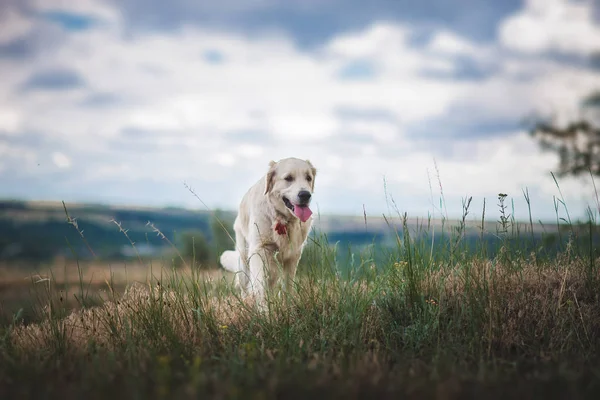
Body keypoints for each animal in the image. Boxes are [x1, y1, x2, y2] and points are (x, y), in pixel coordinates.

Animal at [218, 156, 316, 304]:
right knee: (245, 287)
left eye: (308, 178)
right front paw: (264, 309)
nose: (305, 195)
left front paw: (288, 307)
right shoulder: (259, 249)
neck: (282, 219)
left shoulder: (293, 255)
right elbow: (260, 288)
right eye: (288, 178)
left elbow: (288, 286)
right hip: (244, 261)